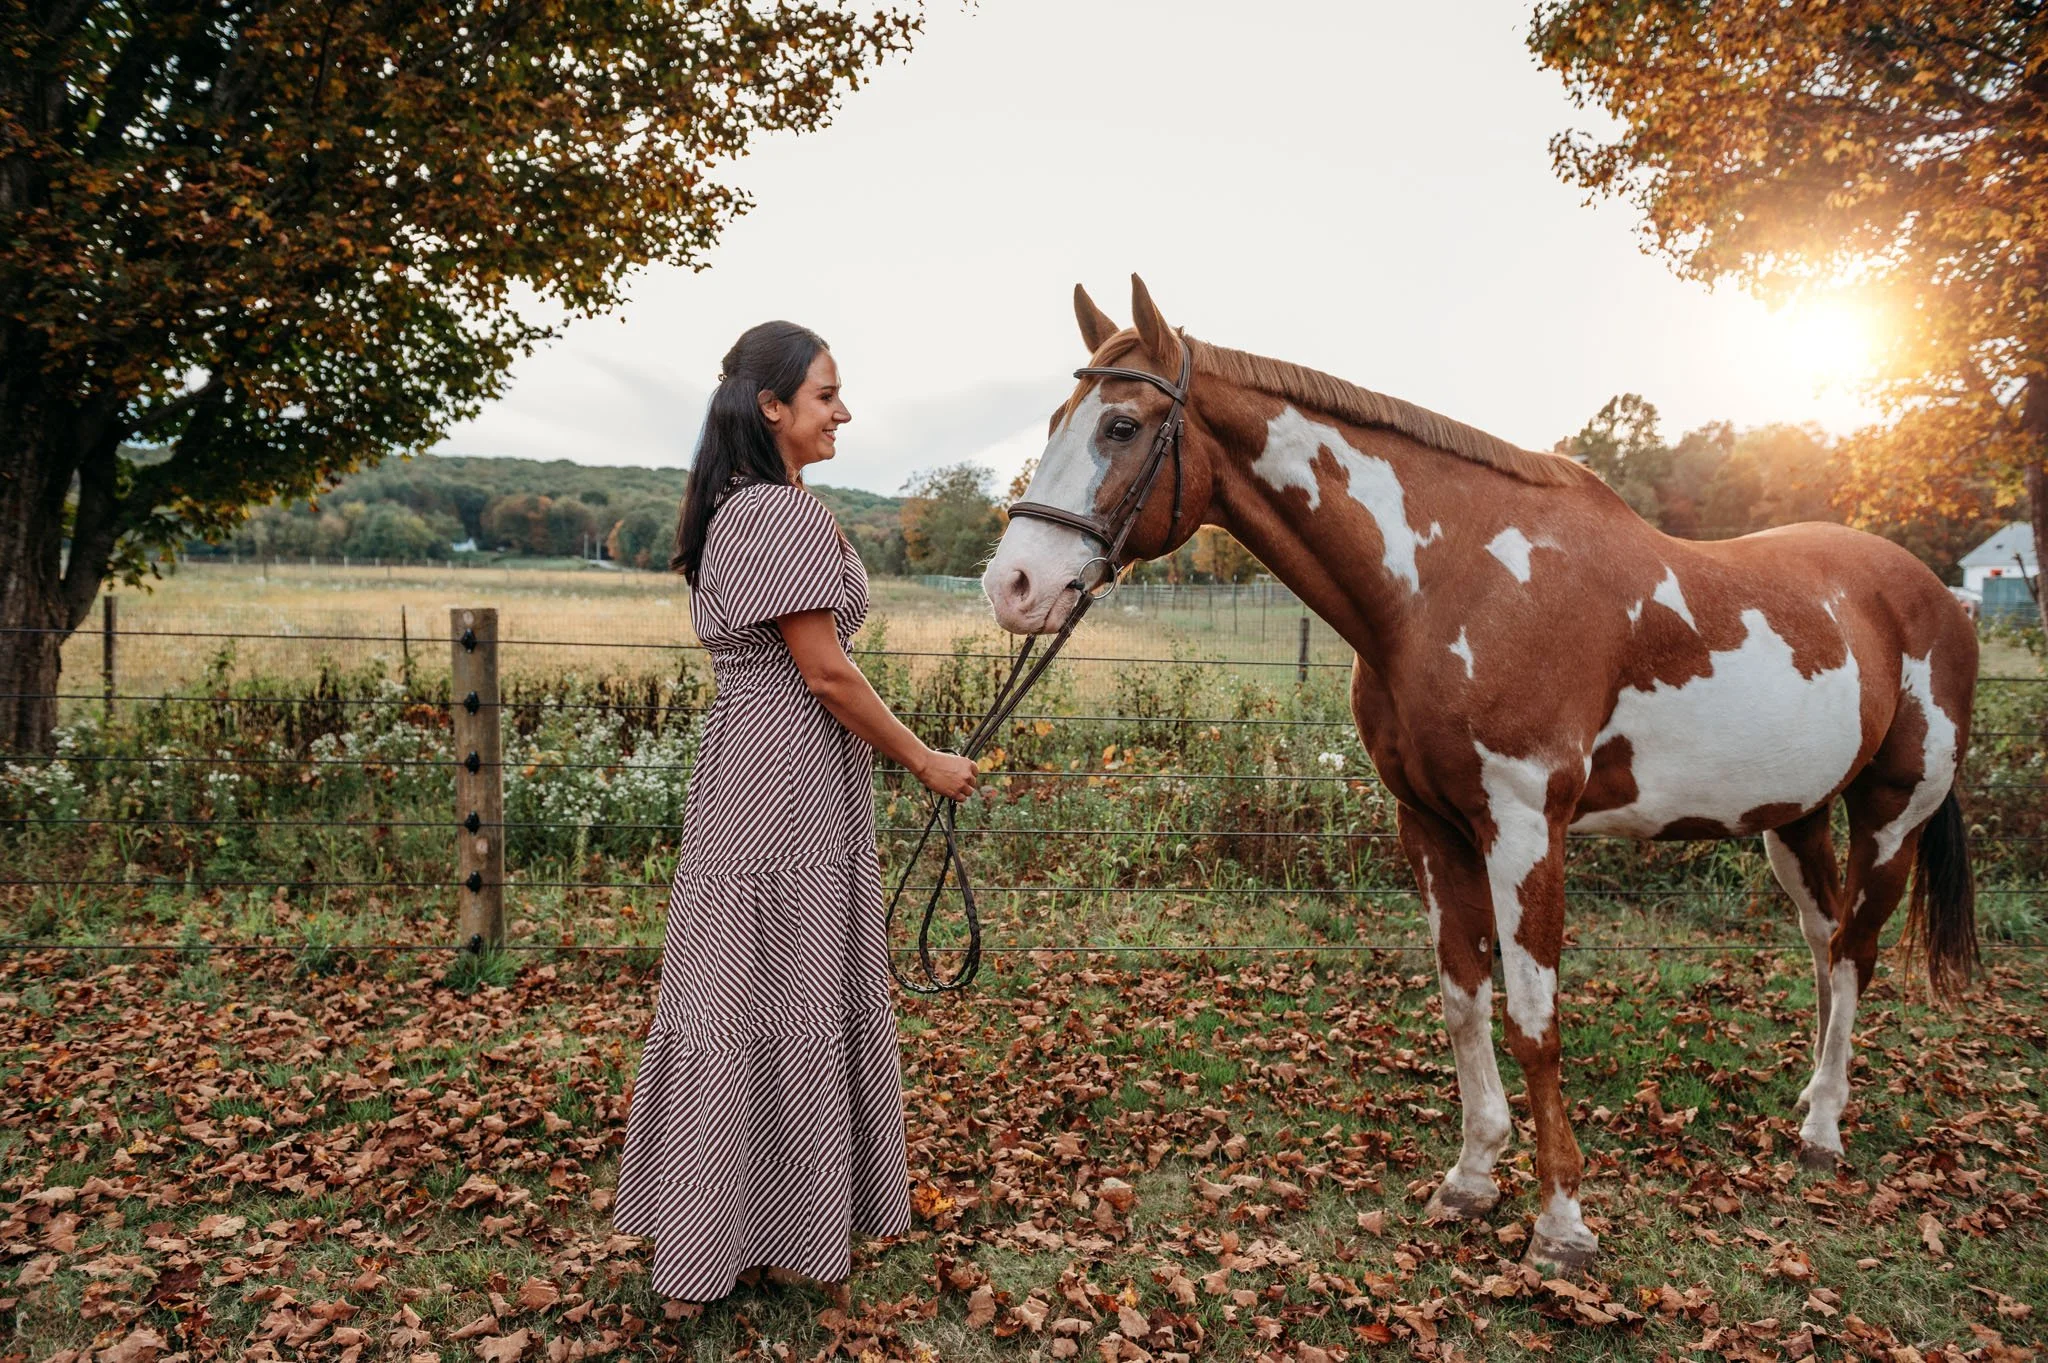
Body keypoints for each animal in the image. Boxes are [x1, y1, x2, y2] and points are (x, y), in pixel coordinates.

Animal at [980, 275, 1980, 1273]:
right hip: (1794, 817)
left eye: (1121, 426)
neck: (1454, 582)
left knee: (1854, 951)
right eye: (1056, 421)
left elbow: (1534, 1021)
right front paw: (1470, 1177)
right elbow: (1463, 998)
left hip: (1892, 813)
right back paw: (1809, 1097)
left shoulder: (1526, 824)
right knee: (1823, 944)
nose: (1013, 585)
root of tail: (1938, 596)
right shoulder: (1428, 822)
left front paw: (1561, 1222)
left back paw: (1822, 1131)